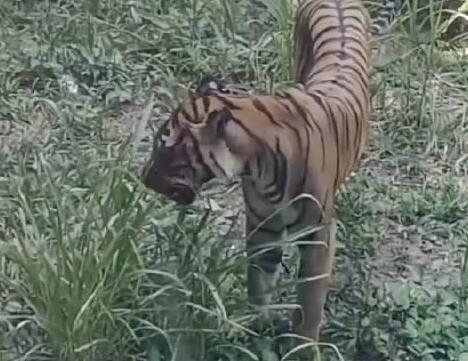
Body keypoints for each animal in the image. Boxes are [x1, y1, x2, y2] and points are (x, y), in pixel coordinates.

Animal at [141, 0, 404, 346]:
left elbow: (309, 302)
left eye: (167, 147)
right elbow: (258, 282)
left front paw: (302, 347)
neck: (256, 166)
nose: (143, 176)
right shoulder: (262, 227)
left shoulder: (318, 236)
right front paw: (258, 330)